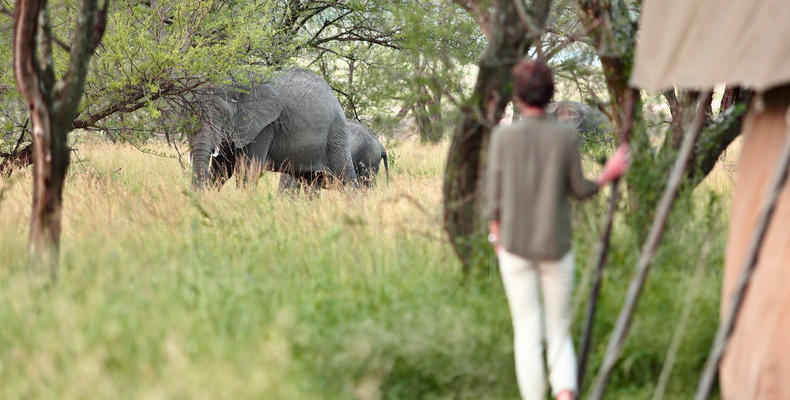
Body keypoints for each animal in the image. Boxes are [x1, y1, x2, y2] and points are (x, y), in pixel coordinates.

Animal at [190, 68, 358, 188]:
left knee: (346, 178)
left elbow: (249, 171)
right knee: (310, 180)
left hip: (335, 134)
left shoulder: (264, 127)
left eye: (223, 114)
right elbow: (222, 169)